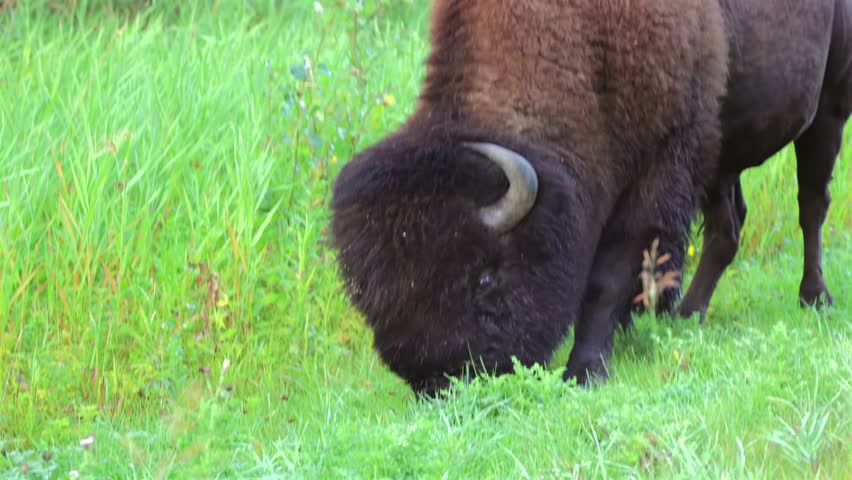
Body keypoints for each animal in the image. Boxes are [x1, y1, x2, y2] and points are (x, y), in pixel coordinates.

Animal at [330, 0, 851, 396]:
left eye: (484, 278)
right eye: (373, 295)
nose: (436, 382)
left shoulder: (656, 168)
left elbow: (608, 276)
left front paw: (585, 372)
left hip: (828, 109)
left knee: (811, 205)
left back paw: (815, 298)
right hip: (722, 152)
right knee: (728, 227)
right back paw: (688, 315)